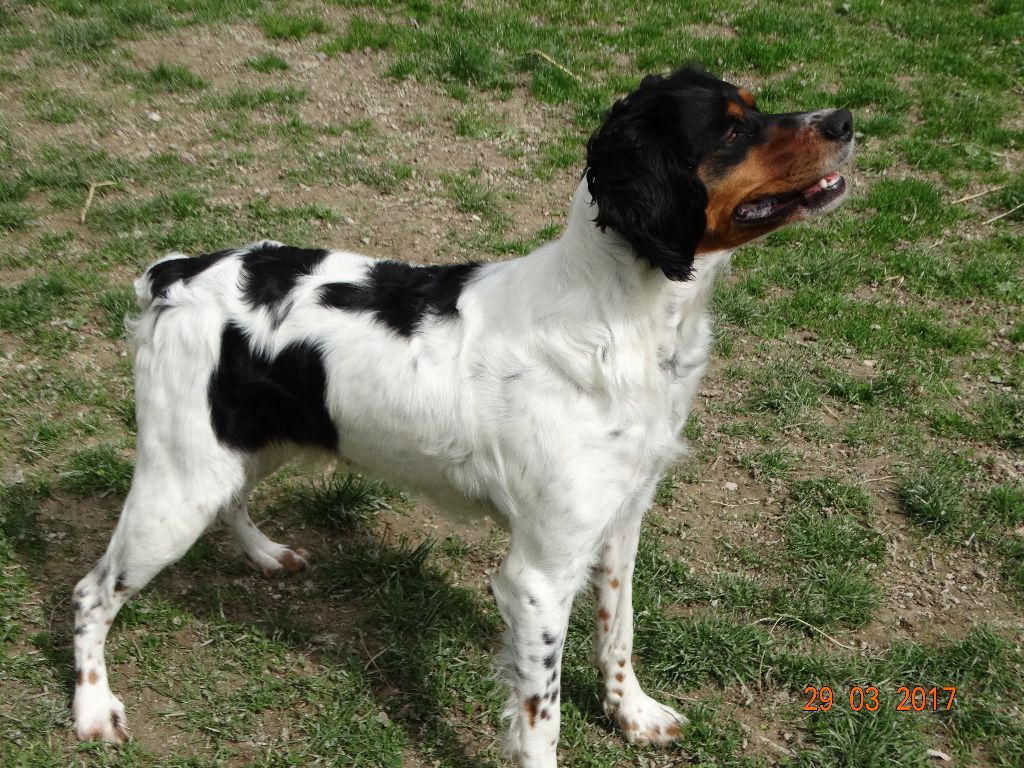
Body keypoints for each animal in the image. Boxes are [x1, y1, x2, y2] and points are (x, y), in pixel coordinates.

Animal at [71, 66, 853, 766]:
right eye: (732, 129)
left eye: (755, 104)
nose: (845, 120)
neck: (617, 317)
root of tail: (175, 274)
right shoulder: (537, 577)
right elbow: (542, 720)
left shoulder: (619, 523)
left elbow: (619, 631)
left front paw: (632, 714)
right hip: (178, 485)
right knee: (90, 592)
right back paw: (92, 708)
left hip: (245, 447)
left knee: (230, 501)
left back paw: (265, 553)